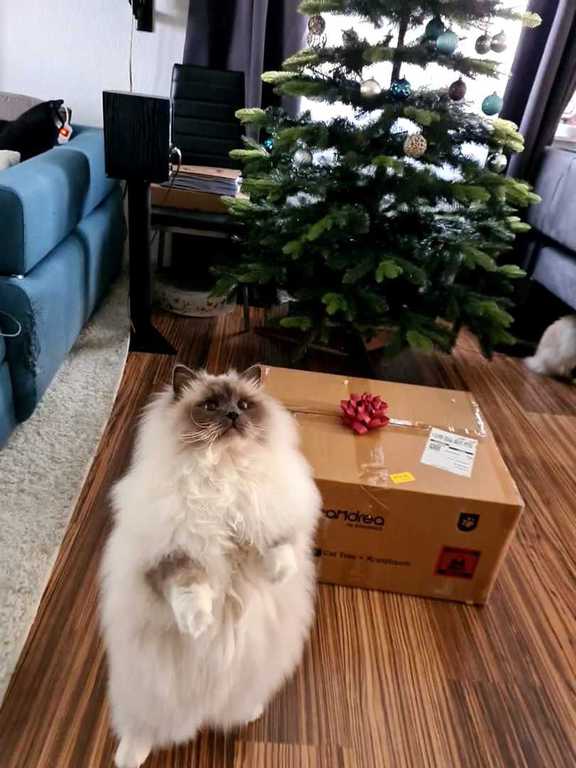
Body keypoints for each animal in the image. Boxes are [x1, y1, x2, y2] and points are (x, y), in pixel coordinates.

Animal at [99, 364, 321, 768]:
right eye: (211, 405)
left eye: (244, 405)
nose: (232, 416)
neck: (224, 472)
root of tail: (204, 710)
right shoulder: (171, 555)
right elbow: (191, 589)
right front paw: (199, 624)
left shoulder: (270, 519)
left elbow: (278, 549)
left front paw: (279, 575)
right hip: (147, 692)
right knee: (141, 729)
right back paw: (128, 757)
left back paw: (248, 712)